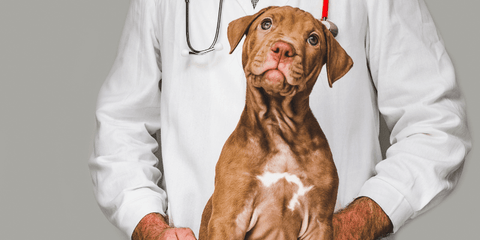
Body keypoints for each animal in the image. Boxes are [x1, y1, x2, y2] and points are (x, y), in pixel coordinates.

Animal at [199, 6, 352, 240]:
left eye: (313, 39)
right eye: (266, 24)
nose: (283, 49)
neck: (278, 124)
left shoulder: (319, 223)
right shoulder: (228, 218)